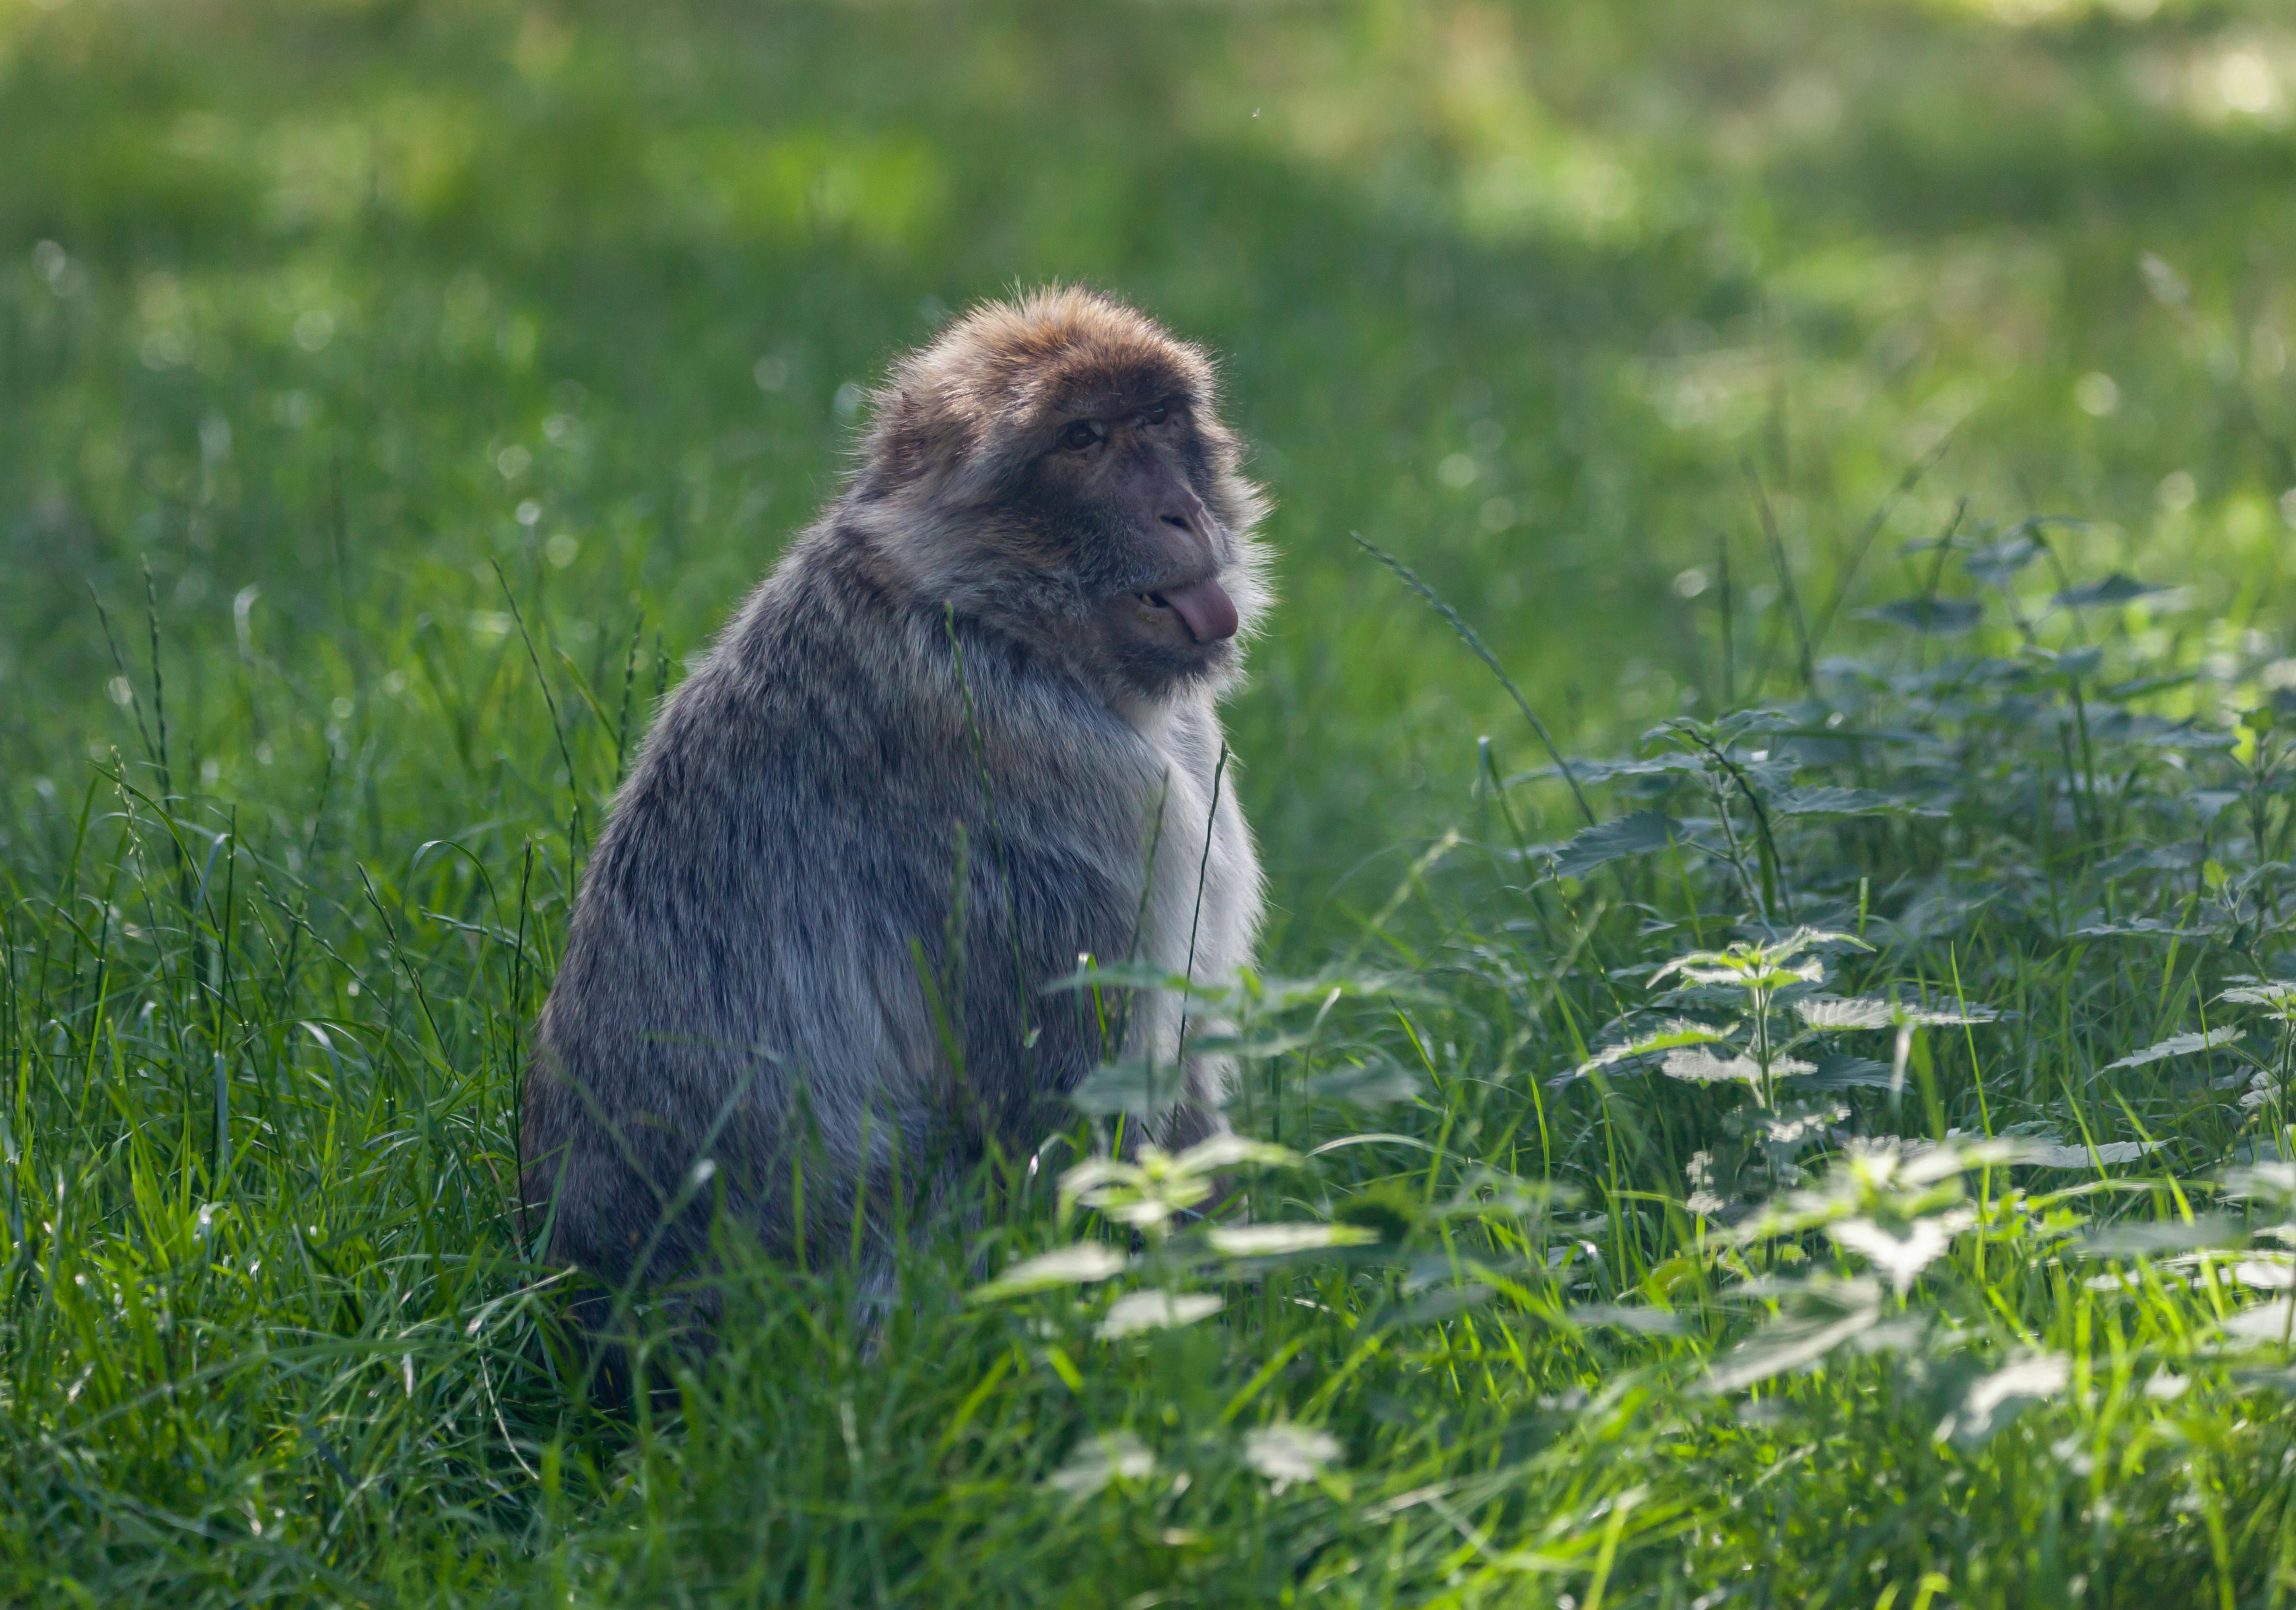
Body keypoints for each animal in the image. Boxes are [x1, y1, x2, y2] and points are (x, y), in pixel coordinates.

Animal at [523, 286, 1276, 1323]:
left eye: (1161, 419)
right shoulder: (1056, 799)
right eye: (1083, 437)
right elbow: (1061, 1113)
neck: (994, 620)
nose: (1183, 510)